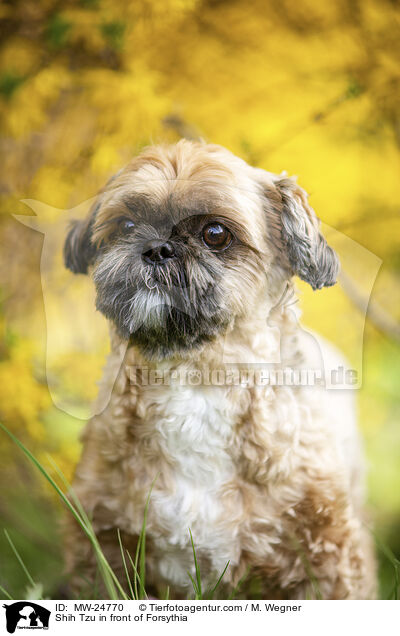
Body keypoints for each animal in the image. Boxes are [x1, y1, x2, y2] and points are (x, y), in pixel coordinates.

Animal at [62, 140, 376, 600]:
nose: (156, 247)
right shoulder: (101, 540)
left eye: (215, 234)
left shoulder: (329, 552)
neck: (196, 381)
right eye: (126, 224)